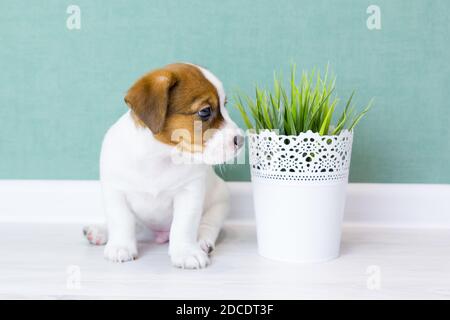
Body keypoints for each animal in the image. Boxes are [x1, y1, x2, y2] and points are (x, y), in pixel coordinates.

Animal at [81, 62, 243, 268]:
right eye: (205, 111)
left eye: (225, 105)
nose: (241, 140)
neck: (158, 156)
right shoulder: (115, 191)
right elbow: (121, 221)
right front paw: (120, 246)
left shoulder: (189, 194)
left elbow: (184, 226)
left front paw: (186, 251)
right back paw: (100, 232)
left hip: (220, 203)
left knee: (208, 225)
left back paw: (201, 241)